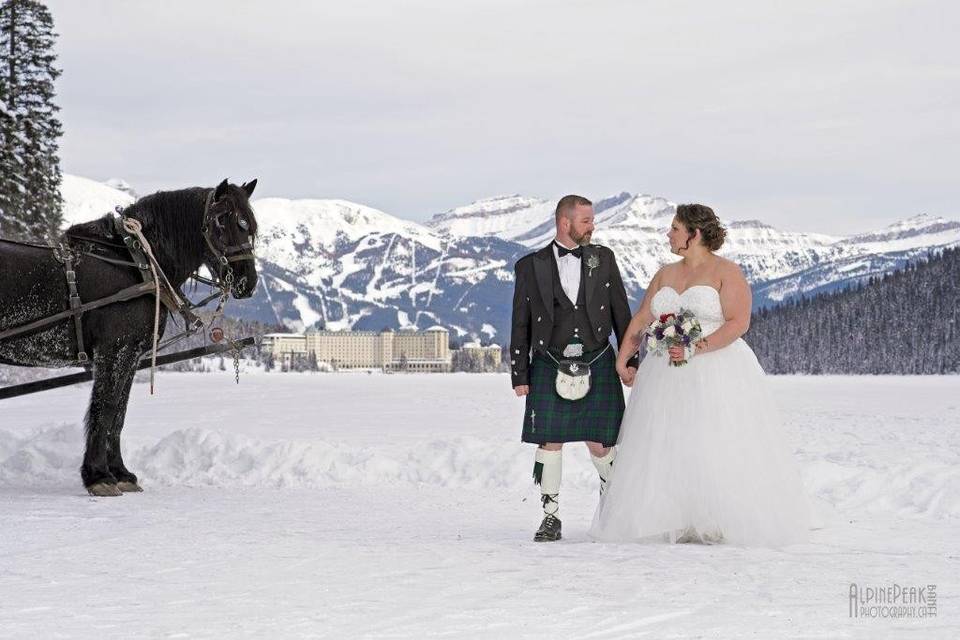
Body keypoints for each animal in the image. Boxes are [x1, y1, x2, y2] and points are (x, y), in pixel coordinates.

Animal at [0, 179, 258, 496]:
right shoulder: (115, 351)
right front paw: (98, 476)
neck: (136, 264)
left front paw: (121, 473)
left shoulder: (131, 355)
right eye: (221, 220)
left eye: (250, 226)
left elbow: (119, 414)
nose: (248, 281)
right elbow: (105, 409)